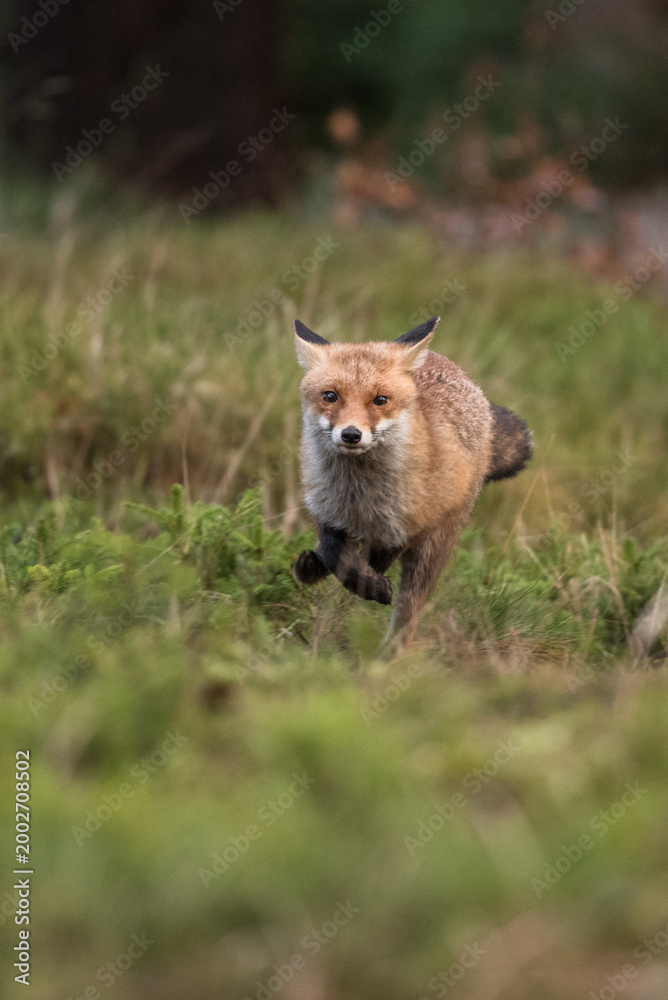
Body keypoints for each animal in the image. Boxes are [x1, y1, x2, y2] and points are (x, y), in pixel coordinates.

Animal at [292, 315, 532, 646]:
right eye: (330, 396)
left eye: (380, 400)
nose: (351, 434)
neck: (361, 498)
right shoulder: (325, 510)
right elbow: (332, 552)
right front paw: (318, 569)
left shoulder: (415, 524)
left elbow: (372, 561)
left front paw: (370, 585)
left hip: (434, 549)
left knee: (409, 613)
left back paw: (387, 654)